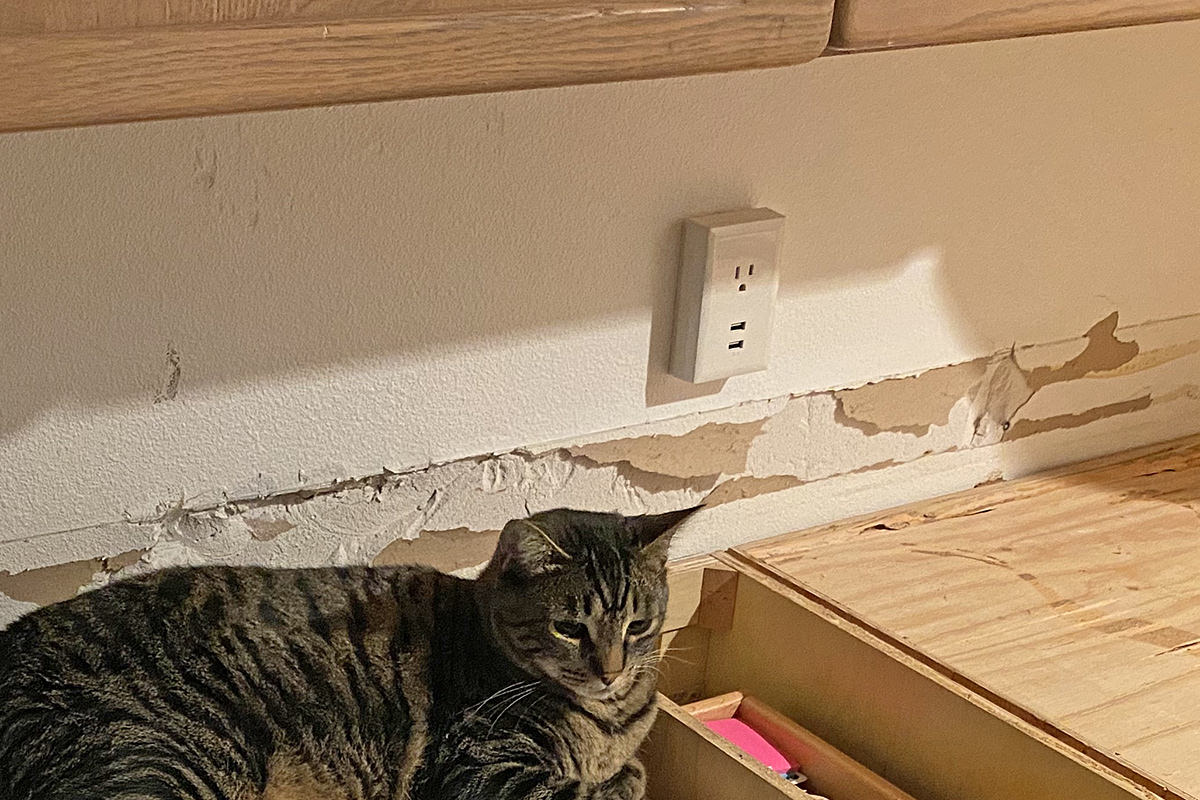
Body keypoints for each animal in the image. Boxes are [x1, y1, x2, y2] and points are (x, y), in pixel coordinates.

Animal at [0, 506, 700, 800]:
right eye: (568, 628)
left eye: (639, 625)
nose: (609, 670)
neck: (610, 720)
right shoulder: (478, 770)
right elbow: (602, 788)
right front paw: (622, 781)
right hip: (157, 759)